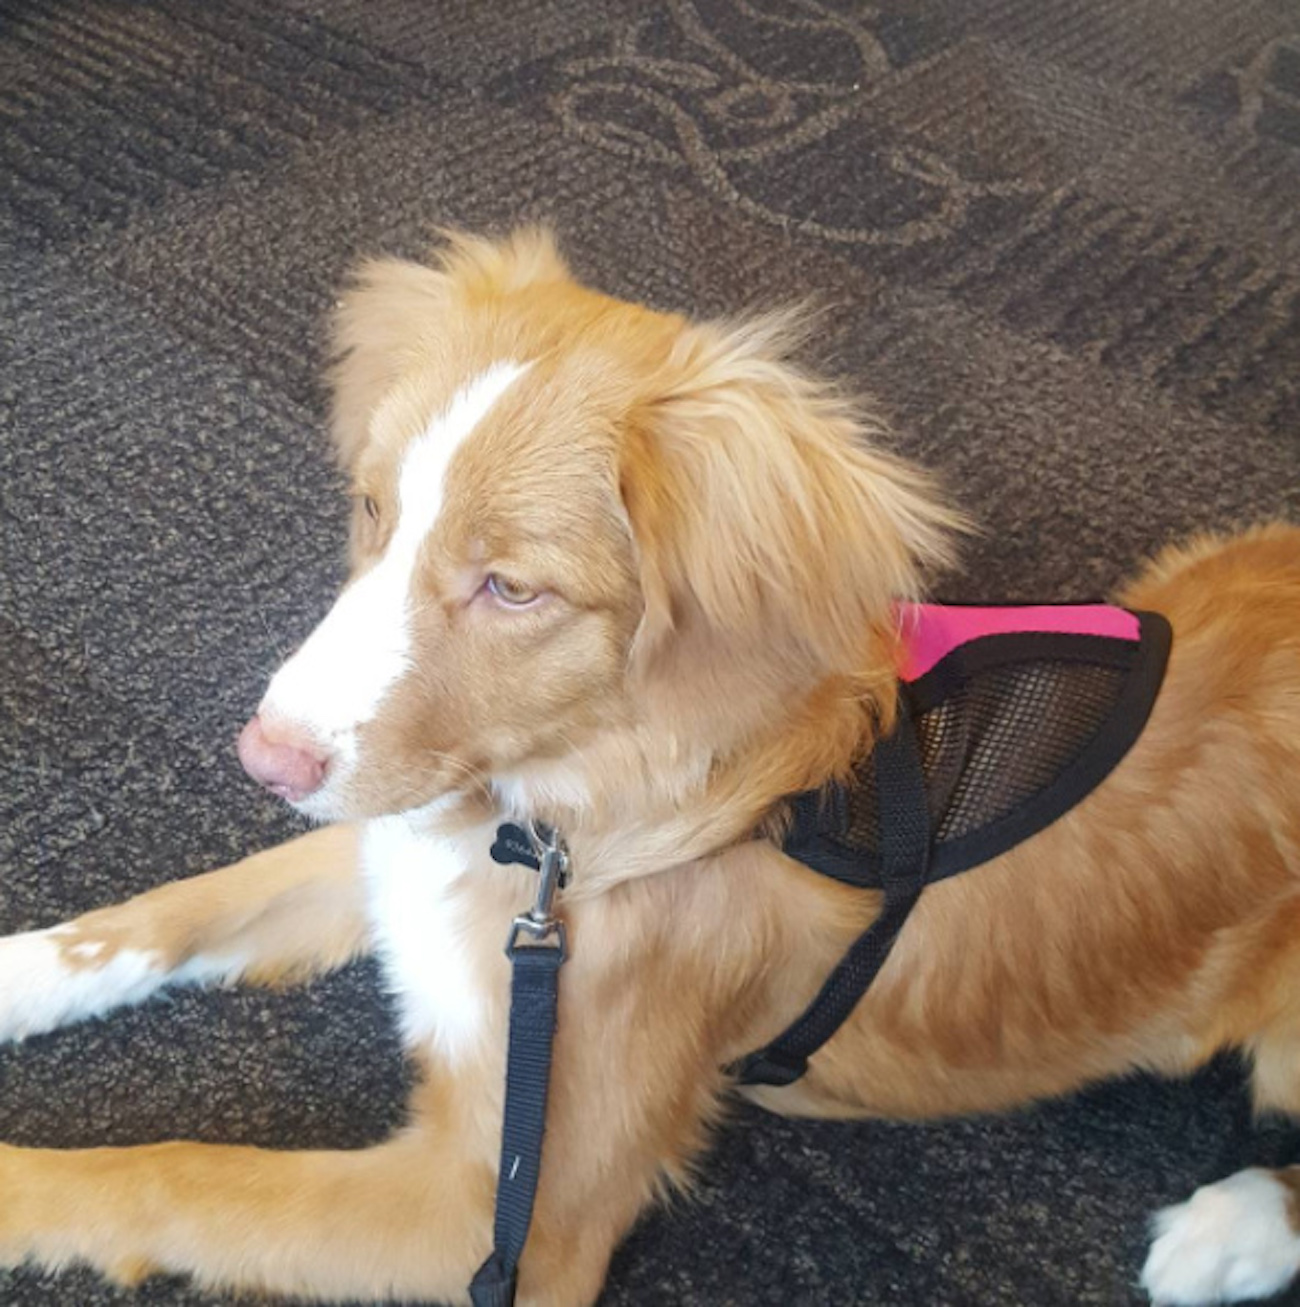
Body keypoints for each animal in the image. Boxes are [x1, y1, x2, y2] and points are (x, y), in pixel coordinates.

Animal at [2, 230, 1300, 1301]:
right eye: (371, 508)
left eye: (512, 586)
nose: (264, 758)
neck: (569, 814)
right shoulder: (413, 831)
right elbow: (180, 906)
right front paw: (18, 971)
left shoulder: (505, 1217)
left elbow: (177, 1171)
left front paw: (18, 1184)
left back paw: (1232, 1228)